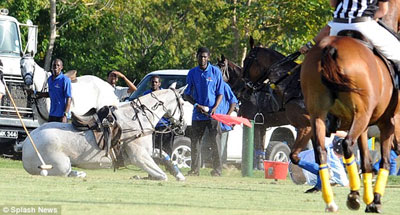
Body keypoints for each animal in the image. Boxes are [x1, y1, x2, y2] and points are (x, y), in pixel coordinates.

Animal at [23, 86, 188, 181]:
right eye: (183, 103)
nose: (184, 126)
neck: (138, 118)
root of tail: (26, 144)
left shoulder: (146, 152)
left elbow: (164, 155)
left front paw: (179, 174)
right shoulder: (139, 157)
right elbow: (162, 176)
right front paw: (140, 177)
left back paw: (79, 174)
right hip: (60, 164)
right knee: (59, 172)